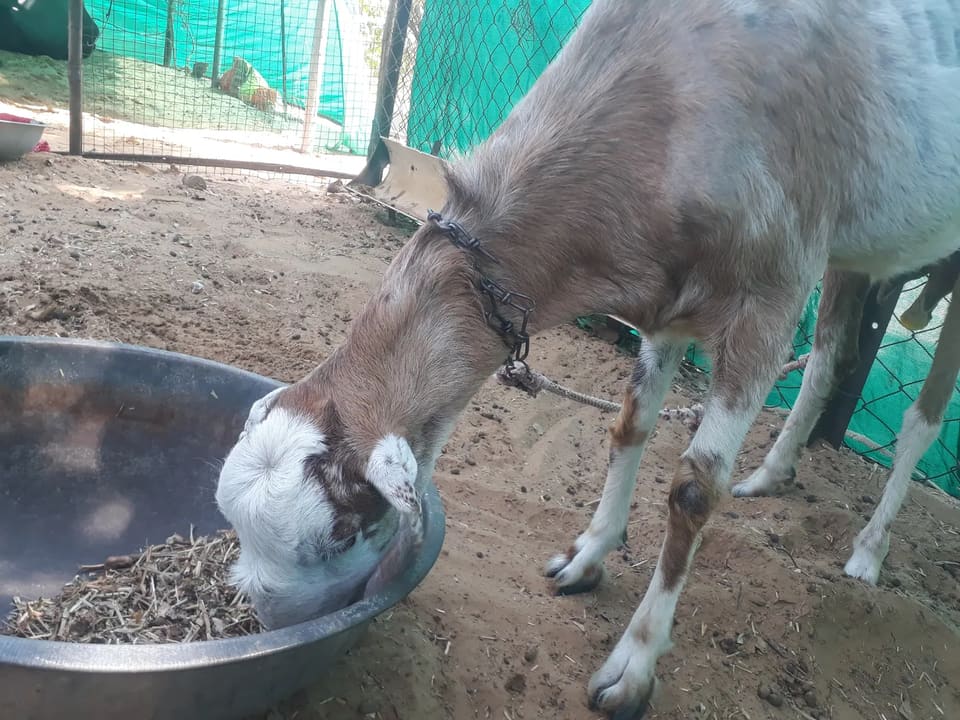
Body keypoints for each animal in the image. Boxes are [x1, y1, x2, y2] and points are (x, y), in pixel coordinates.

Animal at [215, 1, 960, 717]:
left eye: (342, 532)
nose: (270, 623)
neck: (672, 87)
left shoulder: (768, 296)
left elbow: (694, 489)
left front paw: (633, 667)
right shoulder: (668, 298)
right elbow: (629, 426)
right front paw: (588, 555)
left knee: (920, 420)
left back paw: (868, 552)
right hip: (856, 251)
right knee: (834, 354)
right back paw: (773, 472)